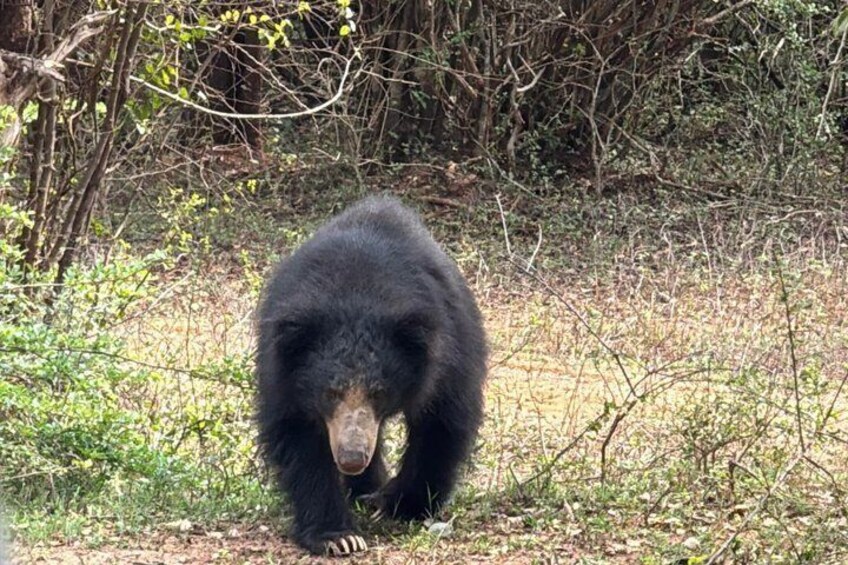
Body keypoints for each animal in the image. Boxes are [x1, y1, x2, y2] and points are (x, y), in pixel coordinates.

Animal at [255, 196, 487, 556]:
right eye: (330, 393)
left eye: (380, 392)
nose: (351, 458)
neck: (356, 298)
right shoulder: (283, 369)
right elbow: (298, 436)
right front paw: (338, 537)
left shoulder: (449, 349)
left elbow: (442, 420)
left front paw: (400, 505)